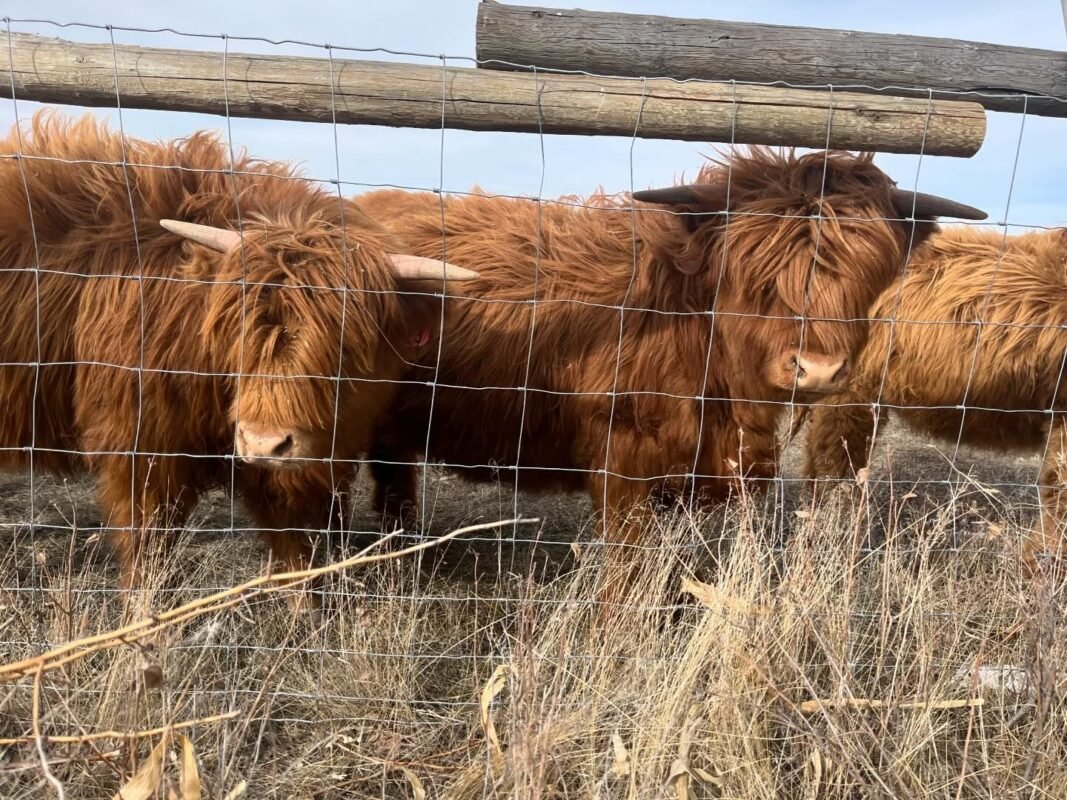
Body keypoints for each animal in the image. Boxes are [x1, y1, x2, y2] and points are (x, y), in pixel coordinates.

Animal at [0, 111, 477, 606]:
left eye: (344, 345)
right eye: (237, 335)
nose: (264, 443)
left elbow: (295, 543)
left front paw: (306, 608)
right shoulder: (138, 446)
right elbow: (148, 542)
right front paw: (143, 609)